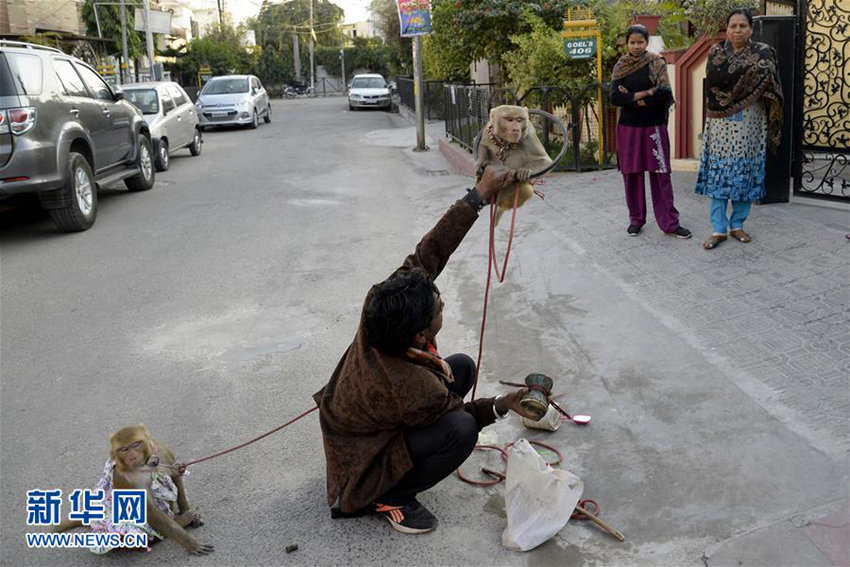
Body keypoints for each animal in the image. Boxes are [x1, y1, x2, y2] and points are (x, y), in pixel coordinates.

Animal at [54, 426, 214, 556]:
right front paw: (190, 542)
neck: (146, 464)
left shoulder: (163, 451)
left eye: (136, 444)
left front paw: (193, 516)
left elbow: (176, 475)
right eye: (123, 449)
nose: (131, 456)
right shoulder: (124, 478)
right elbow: (148, 509)